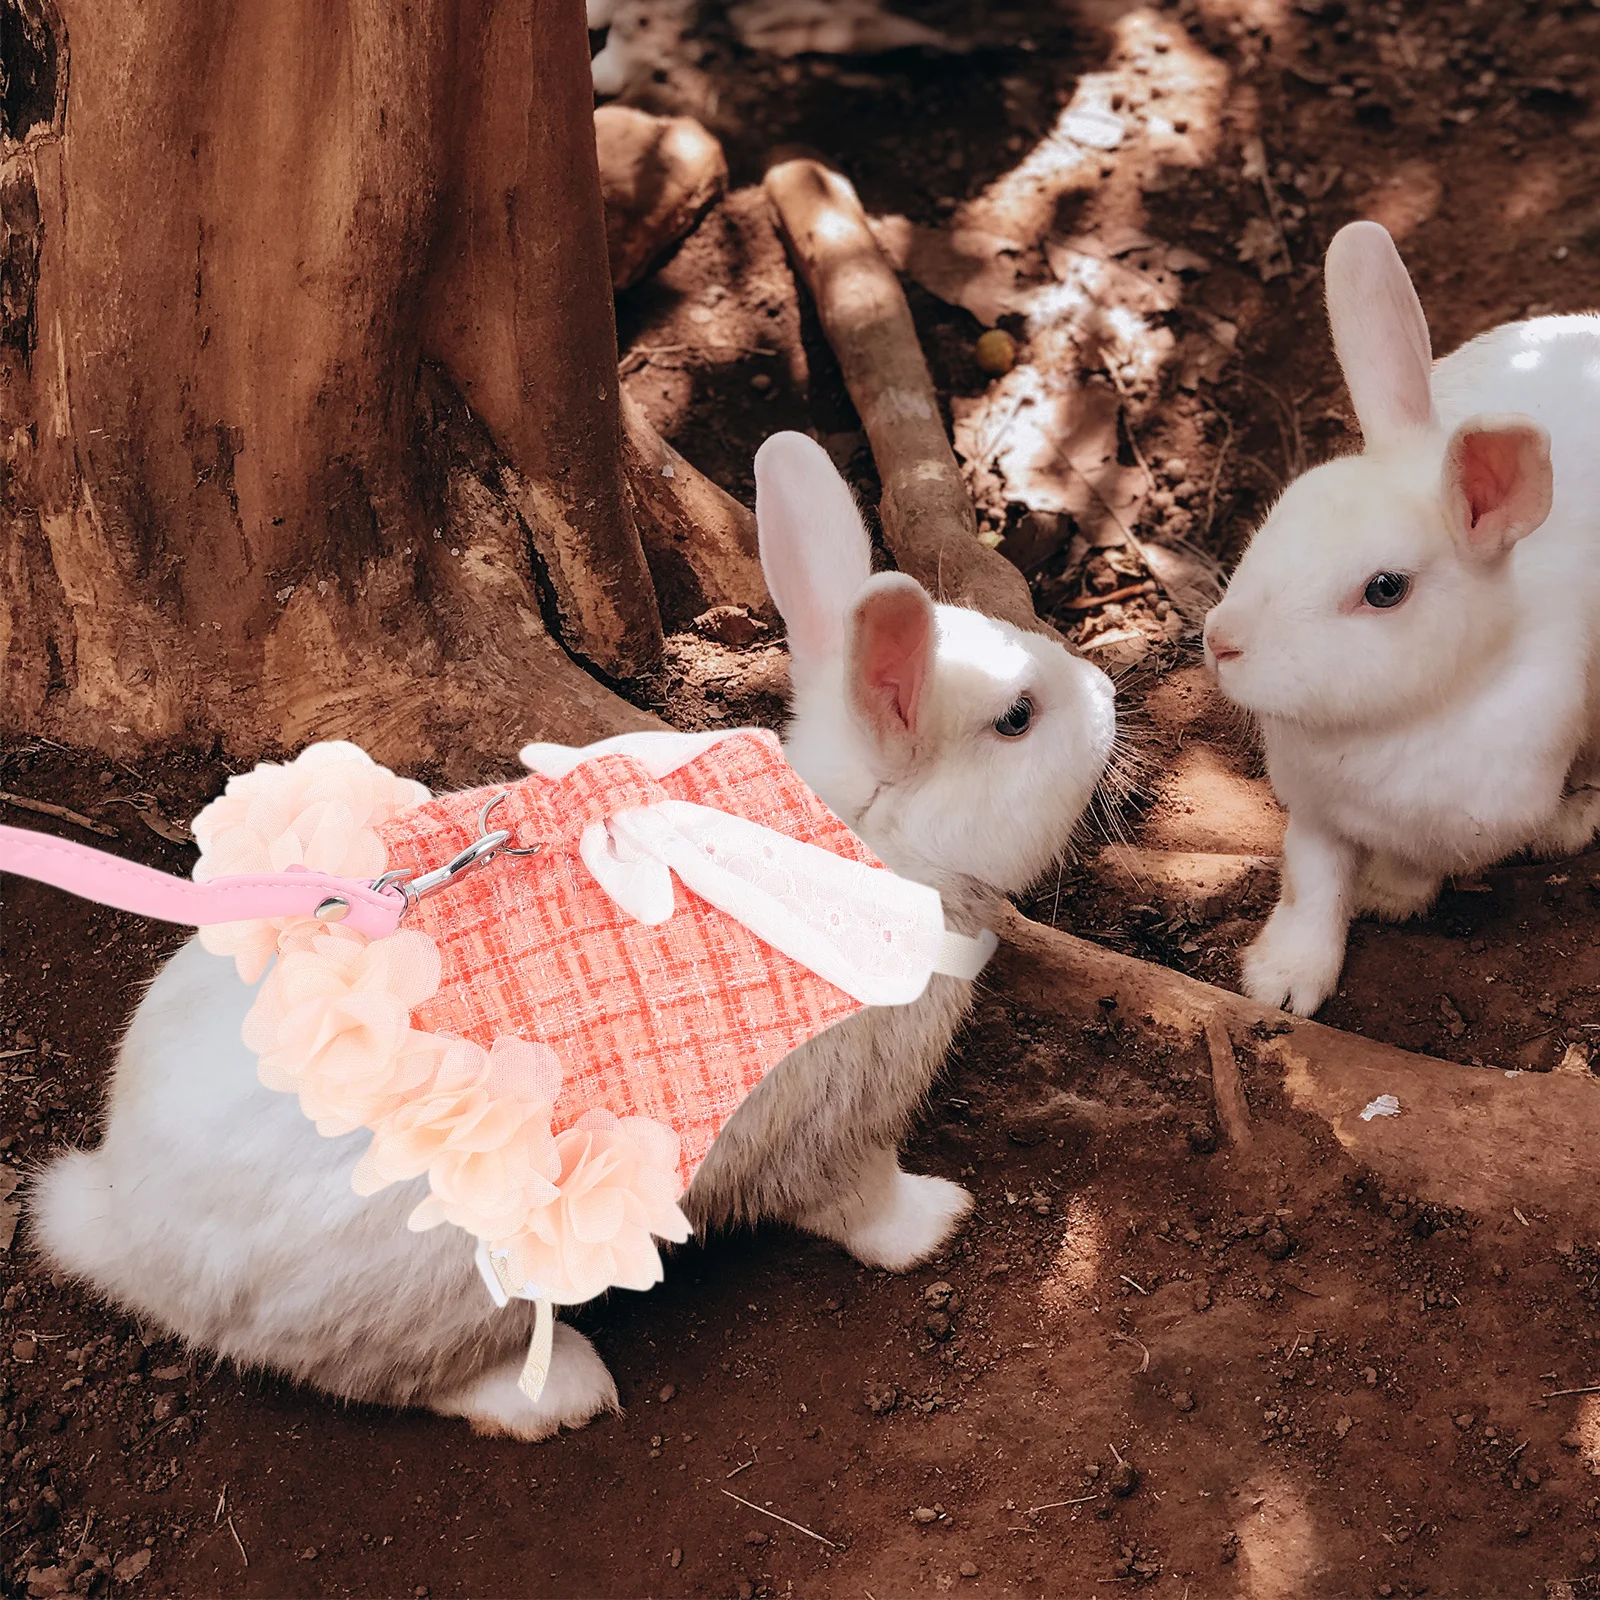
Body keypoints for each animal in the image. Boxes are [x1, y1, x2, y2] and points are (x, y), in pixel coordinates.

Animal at [30, 431, 1116, 1442]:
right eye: (1017, 720)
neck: (868, 849)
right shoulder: (836, 1128)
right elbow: (861, 1207)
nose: (1108, 696)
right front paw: (939, 1219)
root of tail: (124, 1230)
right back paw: (560, 1393)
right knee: (399, 1377)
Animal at [1203, 220, 1600, 1018]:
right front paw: (1282, 982)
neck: (1398, 723)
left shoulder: (1454, 827)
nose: (1220, 643)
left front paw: (1391, 895)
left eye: (1385, 590)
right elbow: (1311, 886)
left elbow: (1414, 866)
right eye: (1282, 512)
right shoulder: (1314, 816)